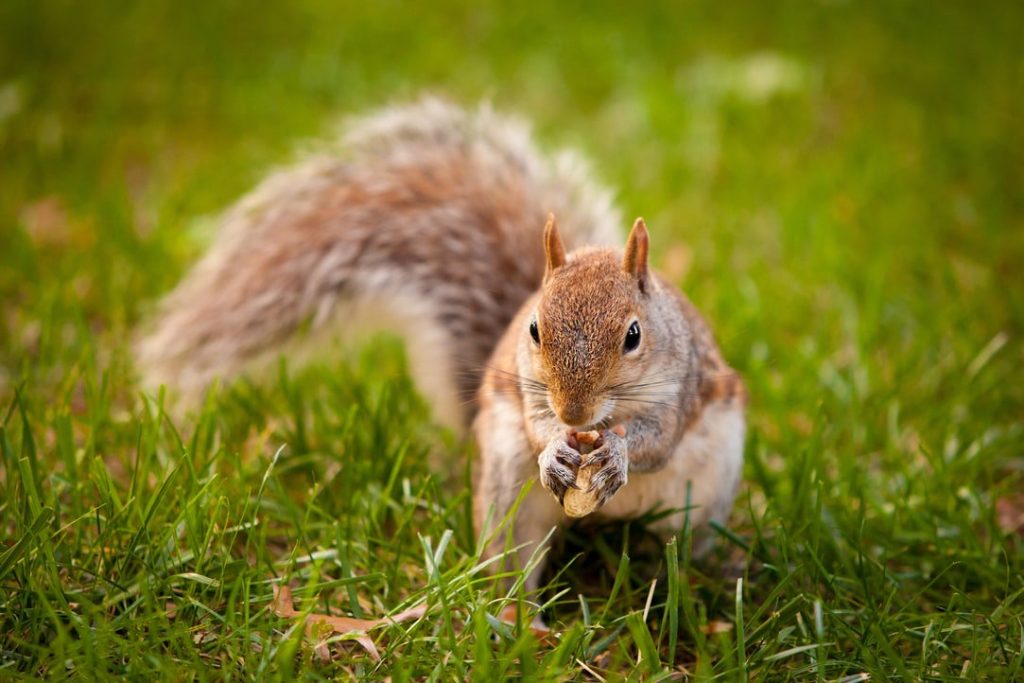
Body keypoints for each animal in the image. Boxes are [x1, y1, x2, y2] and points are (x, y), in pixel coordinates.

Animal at [137, 97, 747, 597]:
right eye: (533, 329)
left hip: (699, 502)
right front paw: (555, 447)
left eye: (634, 335)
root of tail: (593, 525)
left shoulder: (682, 387)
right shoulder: (527, 391)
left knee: (677, 545)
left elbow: (657, 440)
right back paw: (516, 619)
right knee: (513, 559)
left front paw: (617, 451)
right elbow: (536, 425)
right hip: (505, 491)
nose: (573, 413)